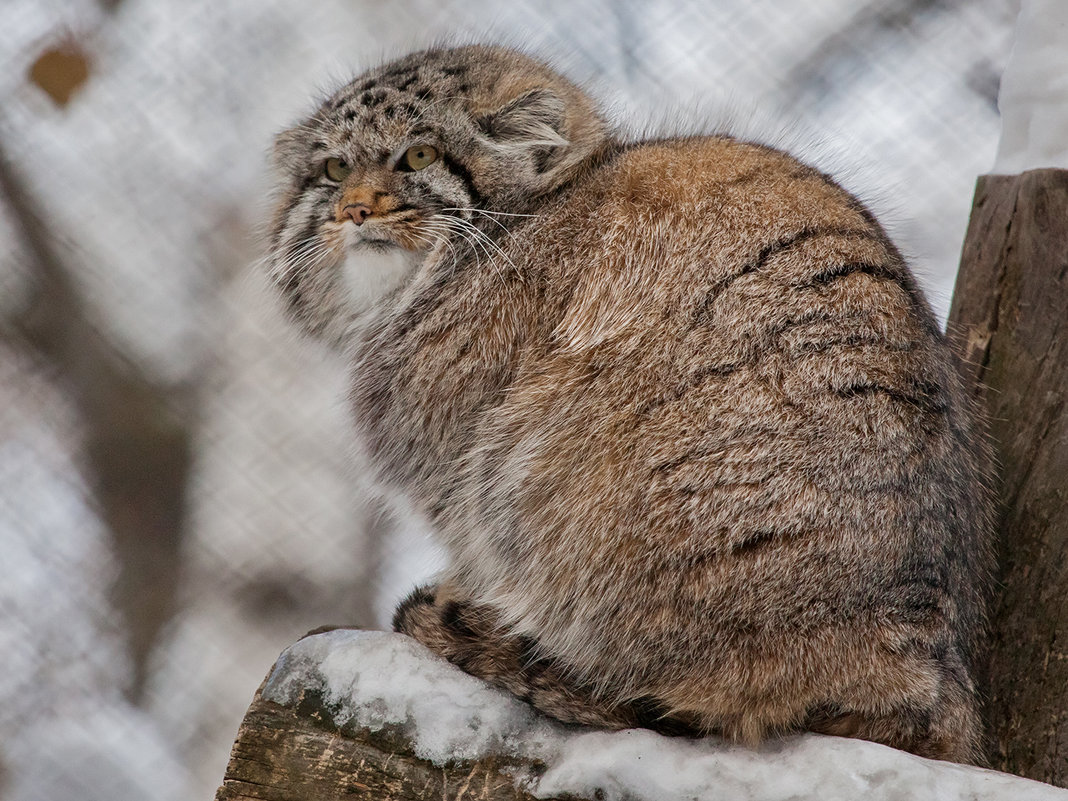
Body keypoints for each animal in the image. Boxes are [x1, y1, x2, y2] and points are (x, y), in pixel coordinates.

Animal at [267, 45, 991, 764]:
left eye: (418, 156)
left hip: (539, 471)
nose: (352, 211)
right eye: (334, 169)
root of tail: (907, 644)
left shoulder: (459, 448)